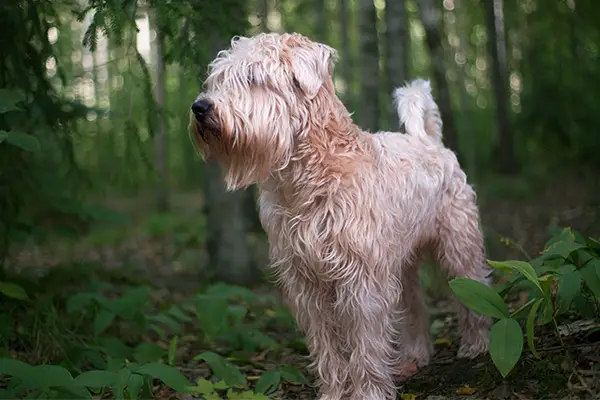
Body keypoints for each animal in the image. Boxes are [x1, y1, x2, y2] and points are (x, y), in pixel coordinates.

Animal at [191, 32, 492, 398]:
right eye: (217, 78)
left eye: (254, 78)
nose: (200, 107)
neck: (309, 177)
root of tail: (431, 141)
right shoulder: (306, 282)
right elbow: (328, 348)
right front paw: (334, 392)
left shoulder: (362, 280)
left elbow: (365, 344)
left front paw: (368, 391)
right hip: (402, 264)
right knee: (414, 307)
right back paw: (415, 356)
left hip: (458, 245)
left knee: (473, 288)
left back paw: (477, 345)